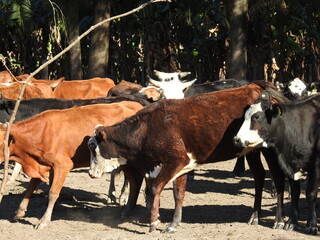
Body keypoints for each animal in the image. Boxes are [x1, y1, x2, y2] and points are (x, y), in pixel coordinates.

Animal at [0, 101, 144, 229]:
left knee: (134, 180)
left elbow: (53, 193)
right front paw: (20, 211)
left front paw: (44, 220)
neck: (40, 133)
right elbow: (31, 187)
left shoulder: (62, 166)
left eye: (1, 143)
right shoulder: (42, 165)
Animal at [87, 81, 288, 233]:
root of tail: (259, 87)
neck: (147, 128)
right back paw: (254, 216)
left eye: (92, 146)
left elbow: (155, 187)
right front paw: (173, 223)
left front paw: (154, 222)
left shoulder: (176, 160)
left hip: (269, 150)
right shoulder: (182, 166)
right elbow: (178, 193)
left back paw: (278, 220)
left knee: (278, 178)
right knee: (259, 176)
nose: (90, 173)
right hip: (251, 150)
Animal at [232, 93, 320, 234]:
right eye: (244, 116)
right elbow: (295, 193)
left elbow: (311, 193)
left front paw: (311, 225)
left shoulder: (316, 166)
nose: (236, 139)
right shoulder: (291, 166)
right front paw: (291, 222)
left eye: (257, 116)